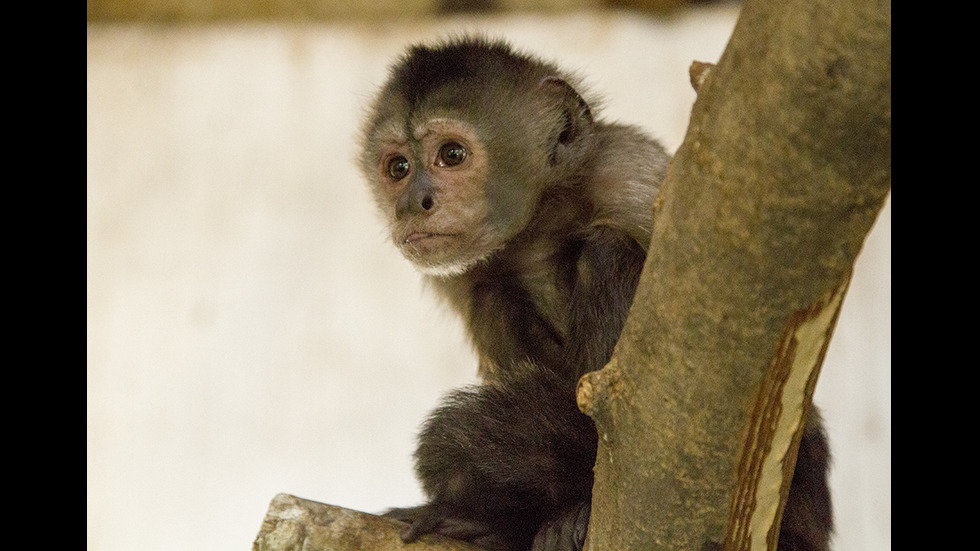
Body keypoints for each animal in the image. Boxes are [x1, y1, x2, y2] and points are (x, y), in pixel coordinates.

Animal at [356, 36, 832, 548]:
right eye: (398, 168)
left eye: (452, 155)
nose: (412, 204)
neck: (540, 223)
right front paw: (490, 516)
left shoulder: (629, 174)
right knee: (493, 299)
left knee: (606, 250)